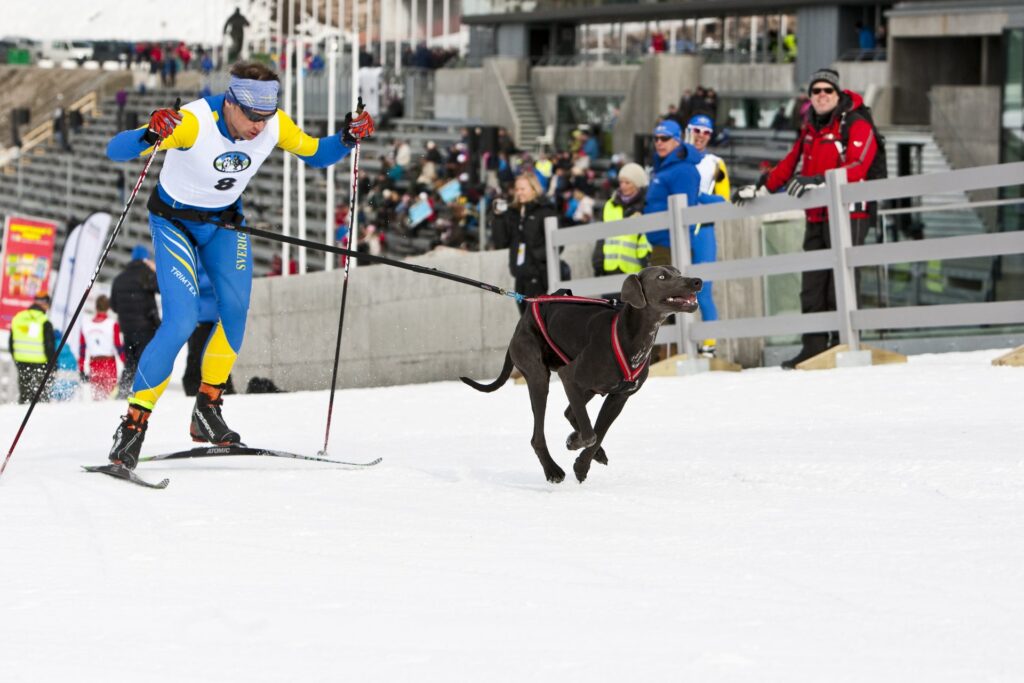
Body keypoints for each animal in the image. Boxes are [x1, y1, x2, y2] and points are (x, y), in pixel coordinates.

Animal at [464, 264, 704, 483]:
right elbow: (590, 435)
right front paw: (575, 444)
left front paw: (581, 465)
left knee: (570, 412)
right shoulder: (568, 376)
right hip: (540, 378)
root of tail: (521, 322)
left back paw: (589, 450)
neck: (627, 334)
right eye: (662, 277)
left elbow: (598, 433)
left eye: (678, 272)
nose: (697, 281)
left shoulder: (619, 397)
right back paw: (552, 469)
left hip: (586, 388)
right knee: (538, 436)